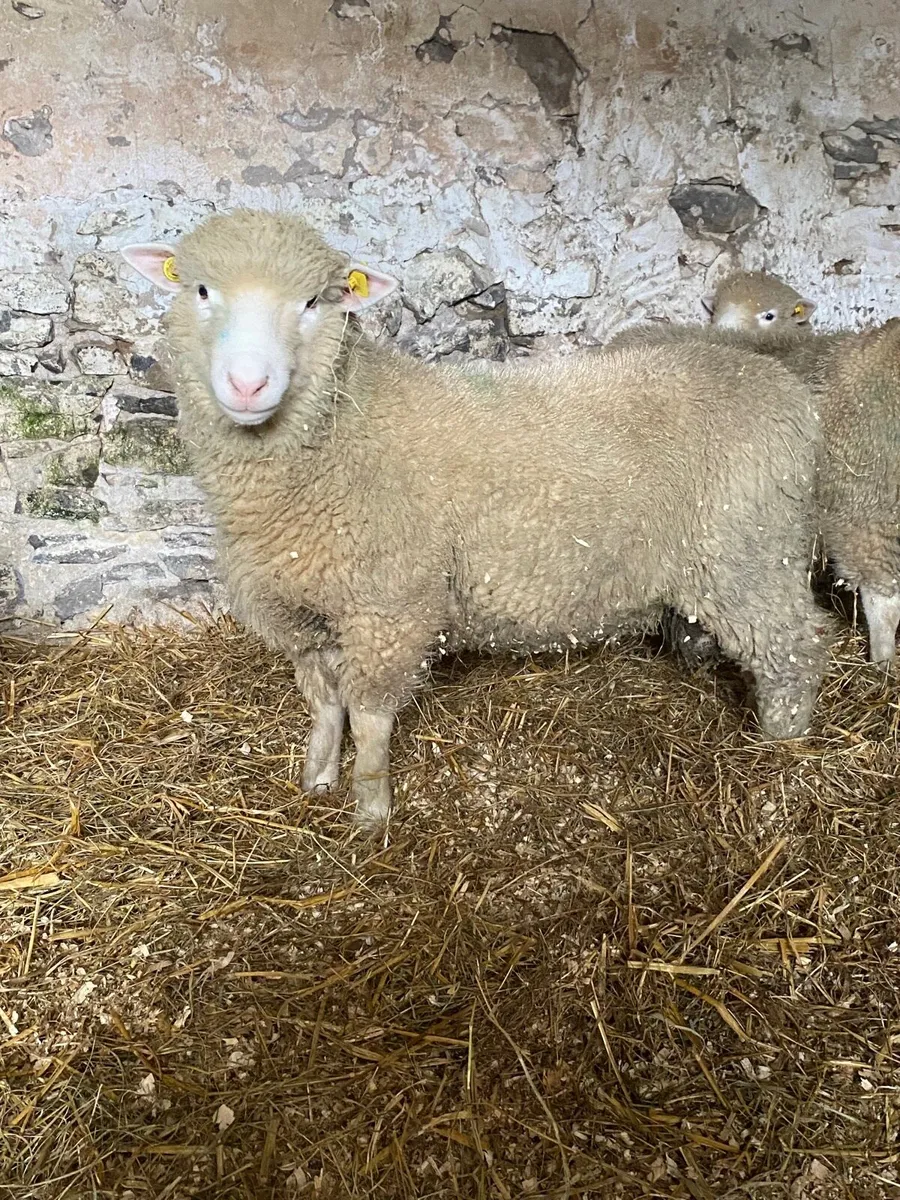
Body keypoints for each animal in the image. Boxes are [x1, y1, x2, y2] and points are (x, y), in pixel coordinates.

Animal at [121, 211, 828, 829]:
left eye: (315, 302)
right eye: (201, 289)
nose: (248, 384)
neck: (346, 426)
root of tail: (783, 388)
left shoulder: (392, 610)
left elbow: (369, 718)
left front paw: (370, 811)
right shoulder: (299, 611)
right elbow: (323, 703)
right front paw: (317, 777)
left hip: (749, 554)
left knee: (796, 649)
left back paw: (781, 752)